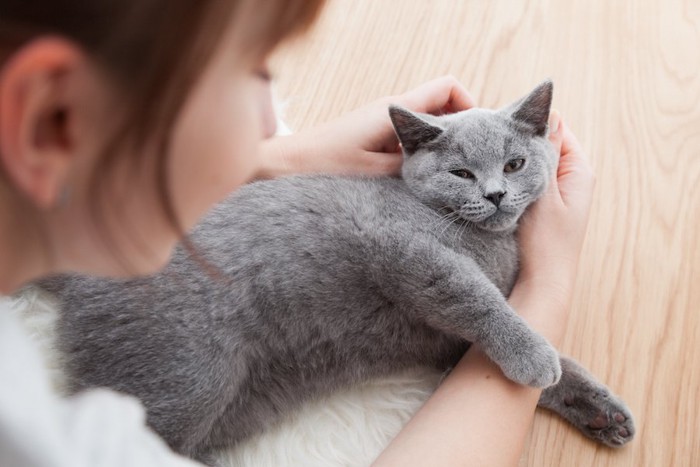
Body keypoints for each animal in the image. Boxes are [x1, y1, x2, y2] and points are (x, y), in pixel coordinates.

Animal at [41, 81, 636, 464]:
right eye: (462, 173)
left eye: (514, 164)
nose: (495, 194)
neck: (490, 242)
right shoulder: (406, 250)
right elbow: (479, 300)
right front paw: (534, 359)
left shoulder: (451, 345)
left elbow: (546, 356)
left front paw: (600, 410)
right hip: (185, 379)